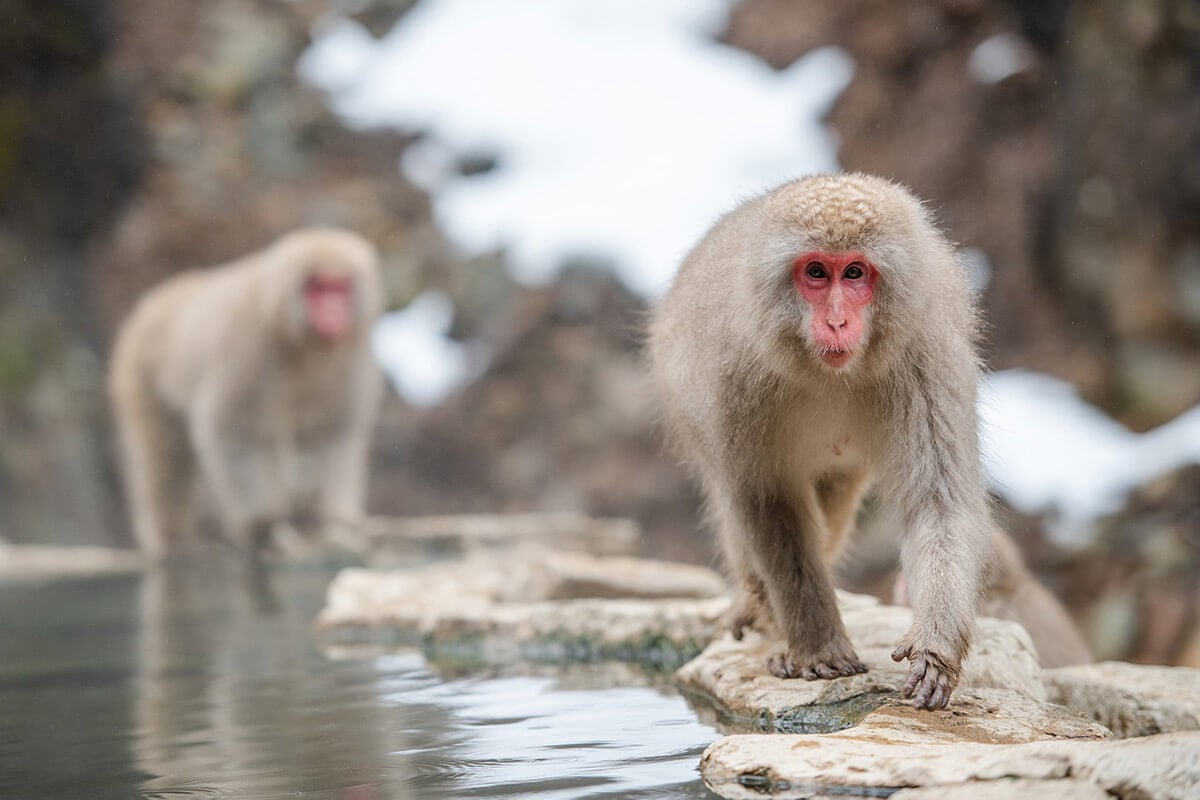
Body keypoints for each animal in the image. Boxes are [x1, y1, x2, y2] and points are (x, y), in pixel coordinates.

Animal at [110, 227, 384, 561]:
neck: (301, 344)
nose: (333, 312)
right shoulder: (246, 349)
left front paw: (337, 524)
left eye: (340, 287)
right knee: (167, 454)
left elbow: (334, 433)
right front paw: (261, 525)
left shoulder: (349, 358)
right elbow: (234, 432)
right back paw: (173, 539)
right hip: (138, 372)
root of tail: (157, 299)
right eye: (317, 288)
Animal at [652, 172, 988, 710]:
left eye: (854, 273)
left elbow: (939, 500)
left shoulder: (926, 357)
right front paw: (817, 647)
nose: (836, 322)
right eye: (815, 272)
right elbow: (767, 502)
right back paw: (764, 615)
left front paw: (934, 652)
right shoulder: (733, 378)